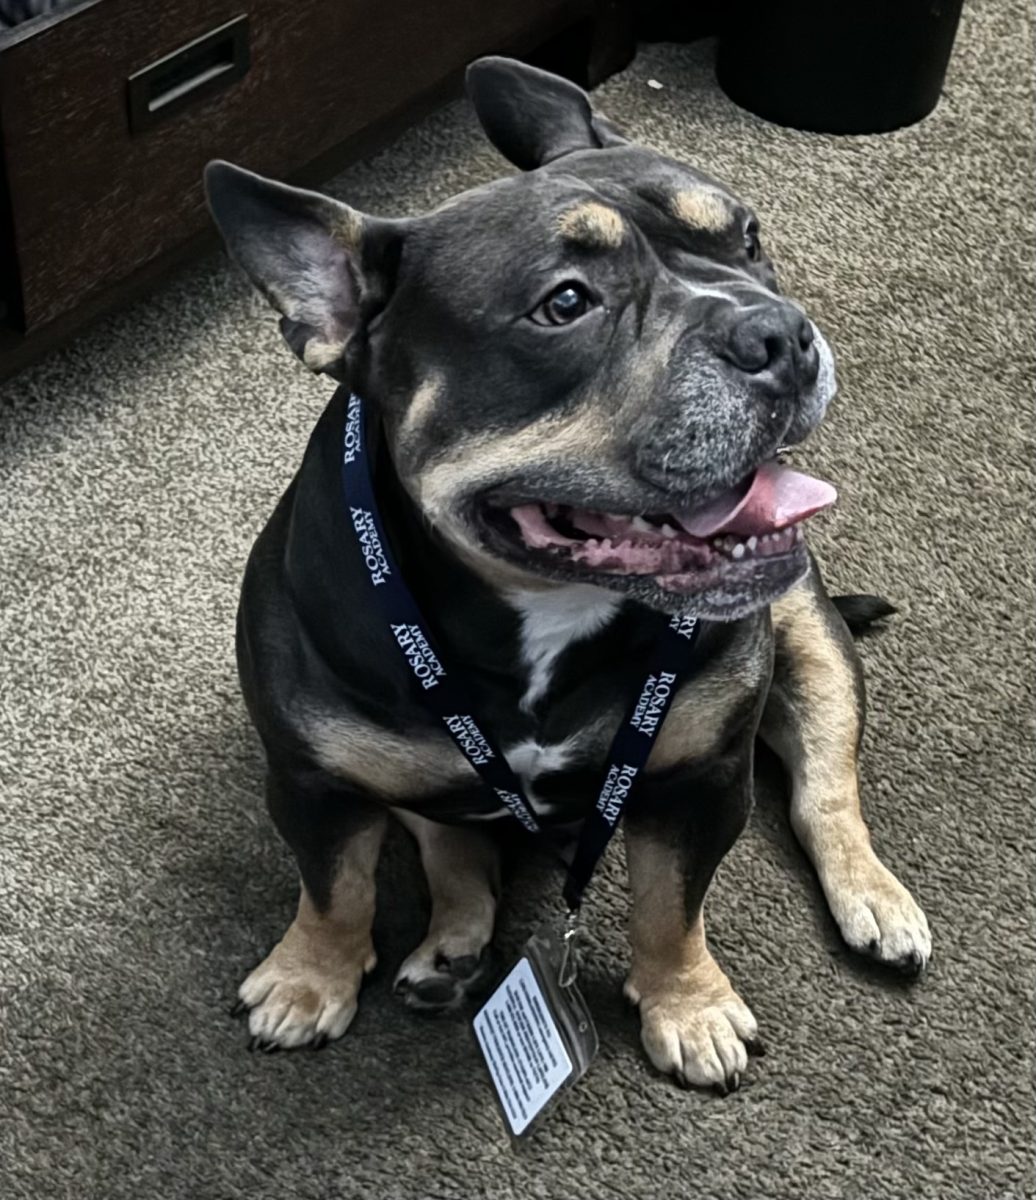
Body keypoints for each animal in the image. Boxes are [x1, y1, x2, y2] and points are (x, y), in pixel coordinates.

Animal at [204, 54, 931, 1089]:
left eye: (750, 239)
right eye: (565, 304)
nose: (779, 331)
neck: (540, 605)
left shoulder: (699, 781)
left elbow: (671, 906)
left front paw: (688, 1004)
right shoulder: (314, 783)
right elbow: (334, 888)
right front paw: (311, 977)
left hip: (815, 647)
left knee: (825, 787)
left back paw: (874, 896)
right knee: (449, 836)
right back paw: (452, 941)